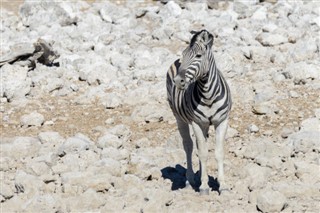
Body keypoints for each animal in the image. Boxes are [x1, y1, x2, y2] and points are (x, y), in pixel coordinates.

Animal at [166, 29, 231, 195]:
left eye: (198, 56)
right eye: (184, 54)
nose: (178, 81)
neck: (208, 95)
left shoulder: (222, 121)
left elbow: (218, 152)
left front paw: (223, 185)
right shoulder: (196, 122)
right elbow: (202, 153)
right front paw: (204, 186)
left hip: (205, 125)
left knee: (199, 145)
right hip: (179, 117)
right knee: (189, 146)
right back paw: (190, 180)